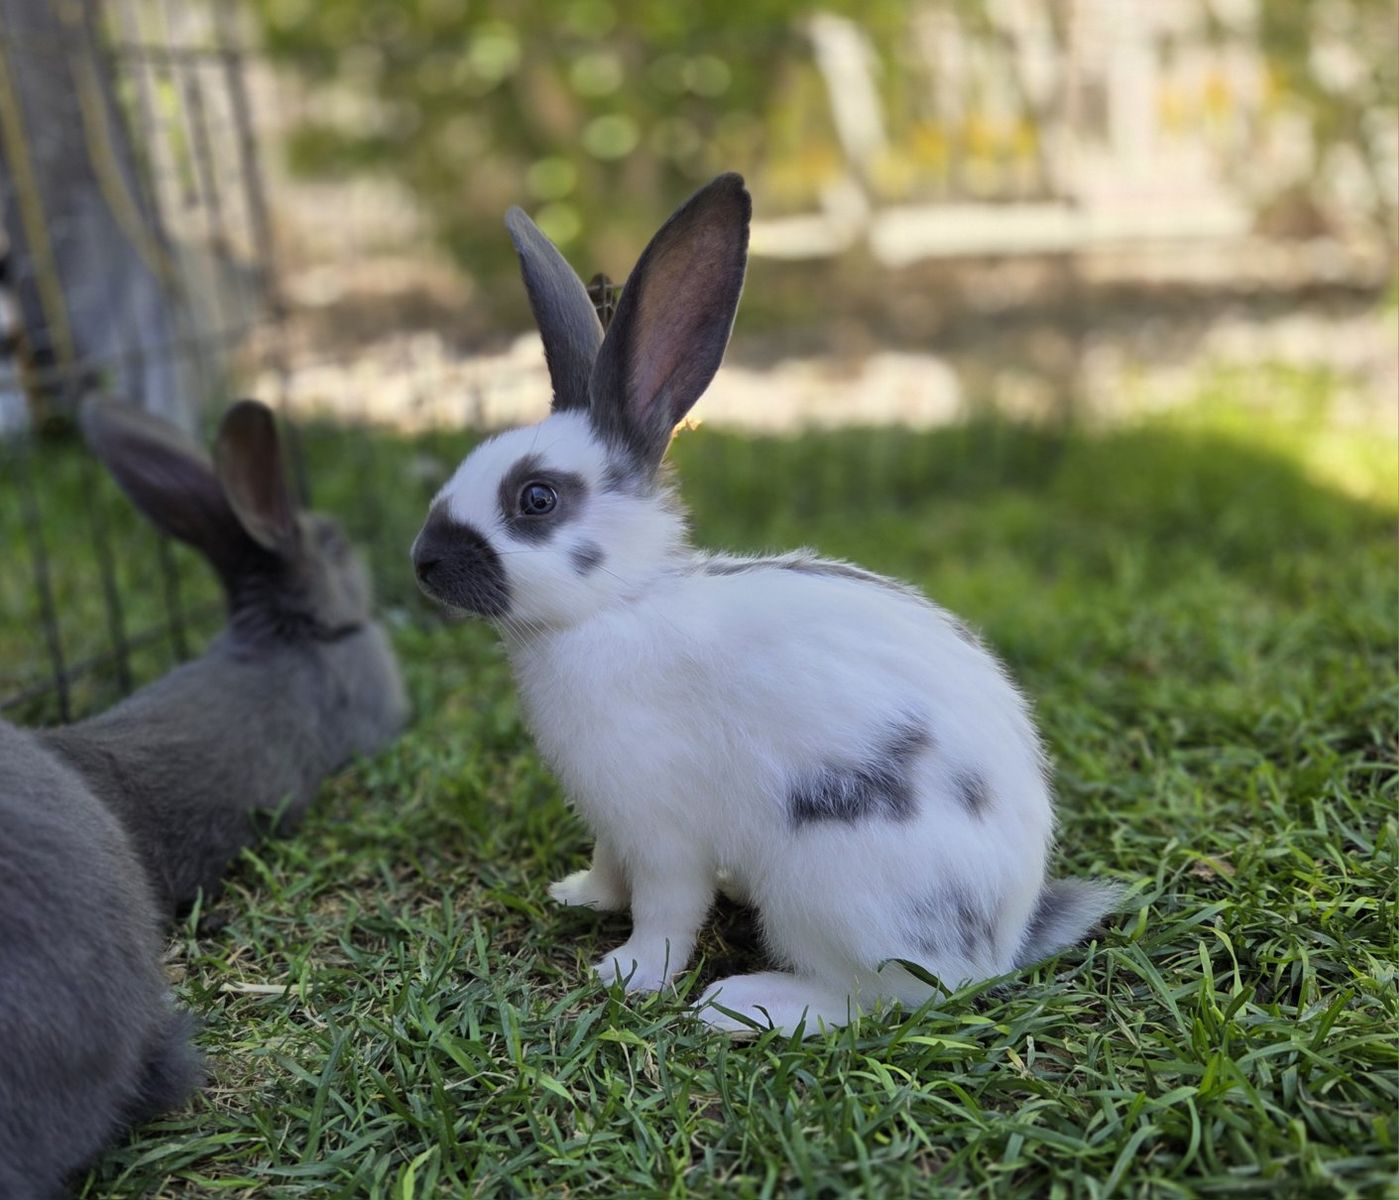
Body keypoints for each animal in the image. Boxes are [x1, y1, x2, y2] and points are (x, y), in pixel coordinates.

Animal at [410, 173, 1120, 1035]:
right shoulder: (613, 821)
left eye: (536, 499)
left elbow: (666, 909)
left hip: (832, 886)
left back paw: (745, 1003)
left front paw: (627, 974)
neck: (614, 606)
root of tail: (1001, 938)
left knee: (881, 996)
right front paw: (581, 896)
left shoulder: (662, 828)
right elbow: (612, 869)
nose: (423, 562)